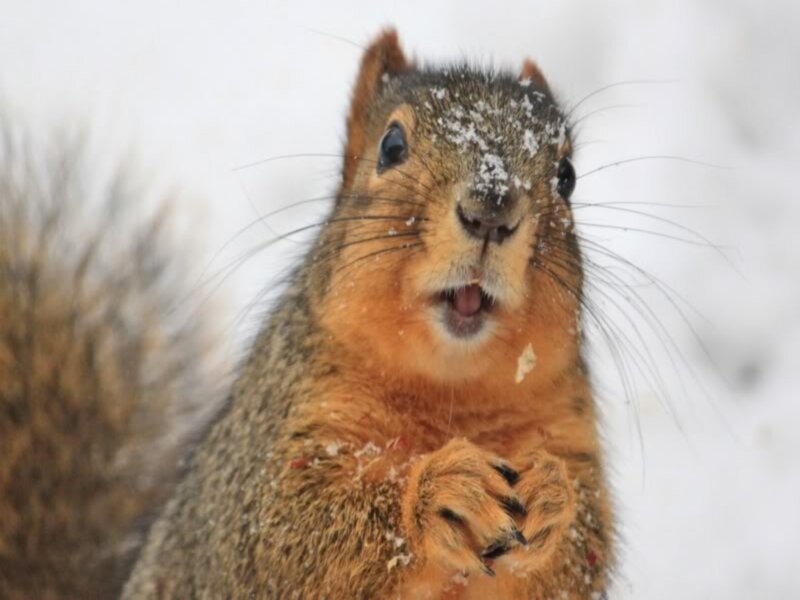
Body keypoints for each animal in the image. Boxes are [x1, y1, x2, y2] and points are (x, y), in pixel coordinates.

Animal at [2, 28, 613, 599]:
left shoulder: (569, 433)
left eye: (567, 175)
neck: (452, 391)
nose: (491, 209)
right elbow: (289, 534)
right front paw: (438, 492)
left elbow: (585, 553)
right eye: (392, 145)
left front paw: (553, 495)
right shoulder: (272, 445)